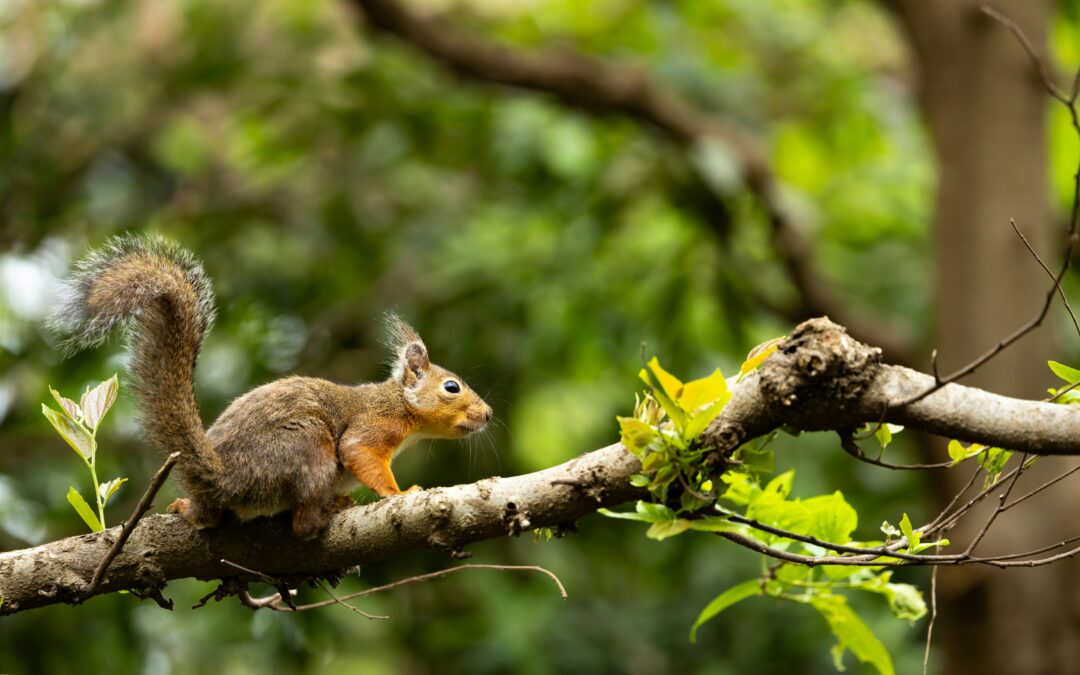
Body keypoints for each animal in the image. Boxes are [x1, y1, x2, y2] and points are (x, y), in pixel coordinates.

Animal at [50, 235, 493, 539]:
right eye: (452, 387)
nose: (488, 414)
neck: (400, 405)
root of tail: (223, 479)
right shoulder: (372, 426)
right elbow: (359, 453)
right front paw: (400, 494)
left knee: (209, 518)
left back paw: (189, 509)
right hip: (305, 447)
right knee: (300, 523)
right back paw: (325, 512)